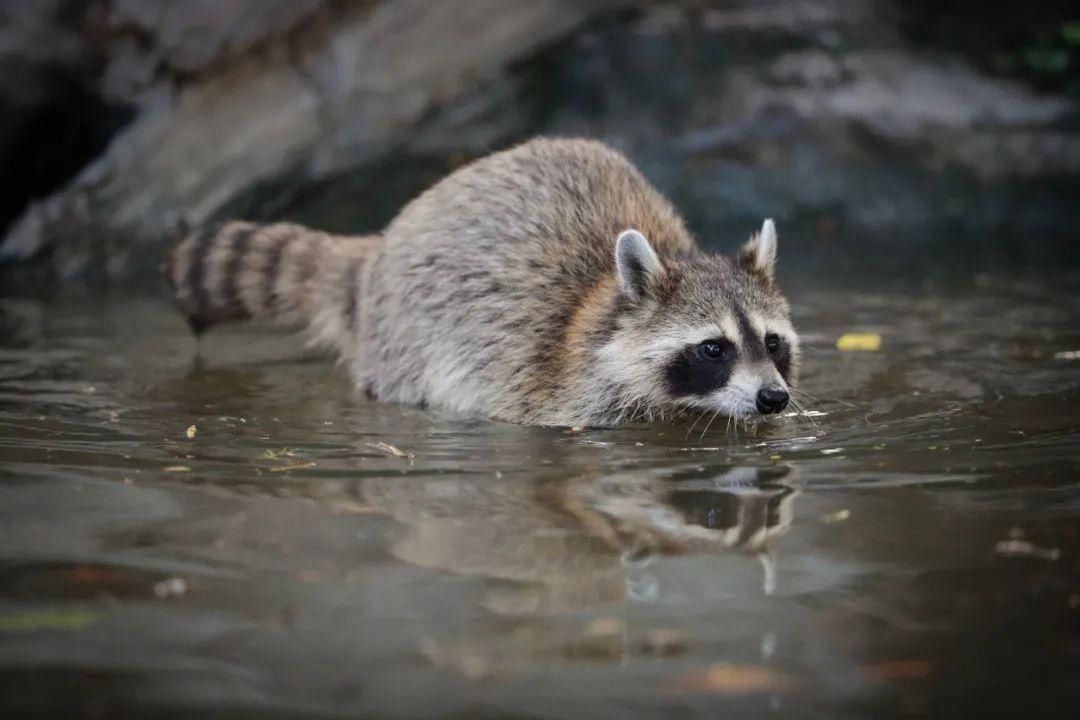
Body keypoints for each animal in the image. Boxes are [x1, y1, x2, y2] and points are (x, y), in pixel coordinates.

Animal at [164, 138, 799, 425]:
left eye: (772, 343)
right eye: (713, 348)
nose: (774, 398)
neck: (605, 306)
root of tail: (379, 249)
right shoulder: (560, 393)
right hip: (404, 338)